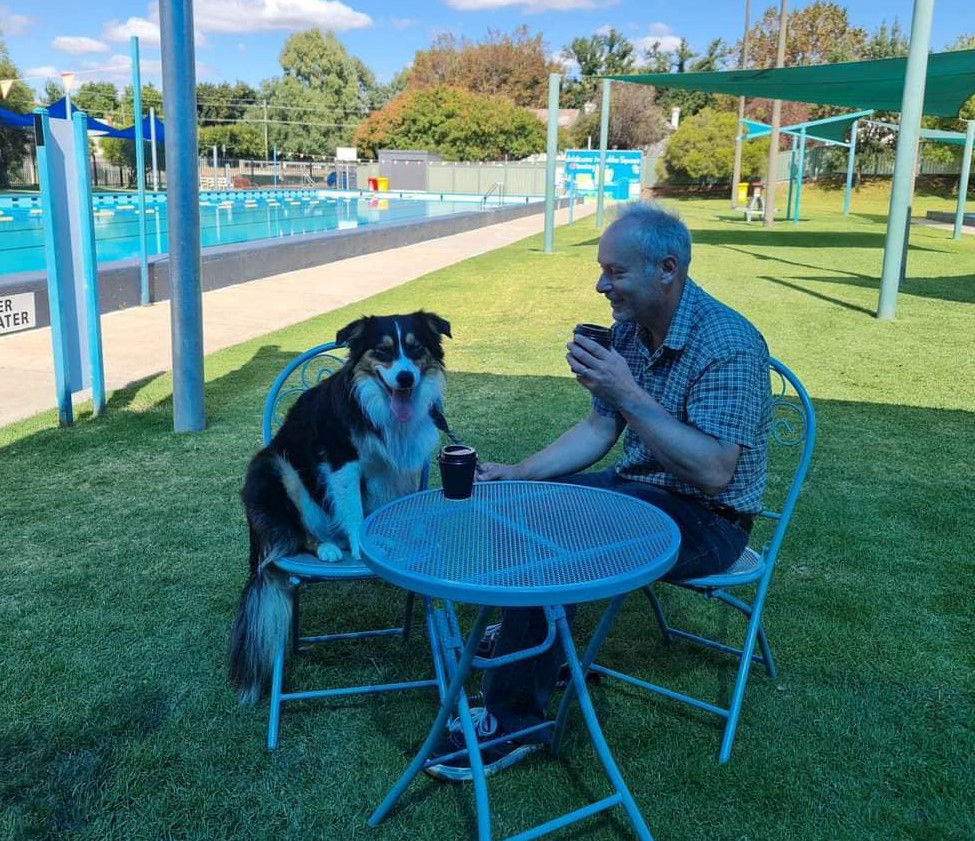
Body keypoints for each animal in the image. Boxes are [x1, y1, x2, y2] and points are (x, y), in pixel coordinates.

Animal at [231, 308, 452, 704]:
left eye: (415, 349)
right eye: (382, 351)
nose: (406, 377)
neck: (376, 403)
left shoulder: (394, 468)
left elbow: (380, 508)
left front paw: (386, 540)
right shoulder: (341, 460)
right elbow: (354, 511)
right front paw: (361, 547)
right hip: (273, 466)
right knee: (297, 533)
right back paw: (327, 548)